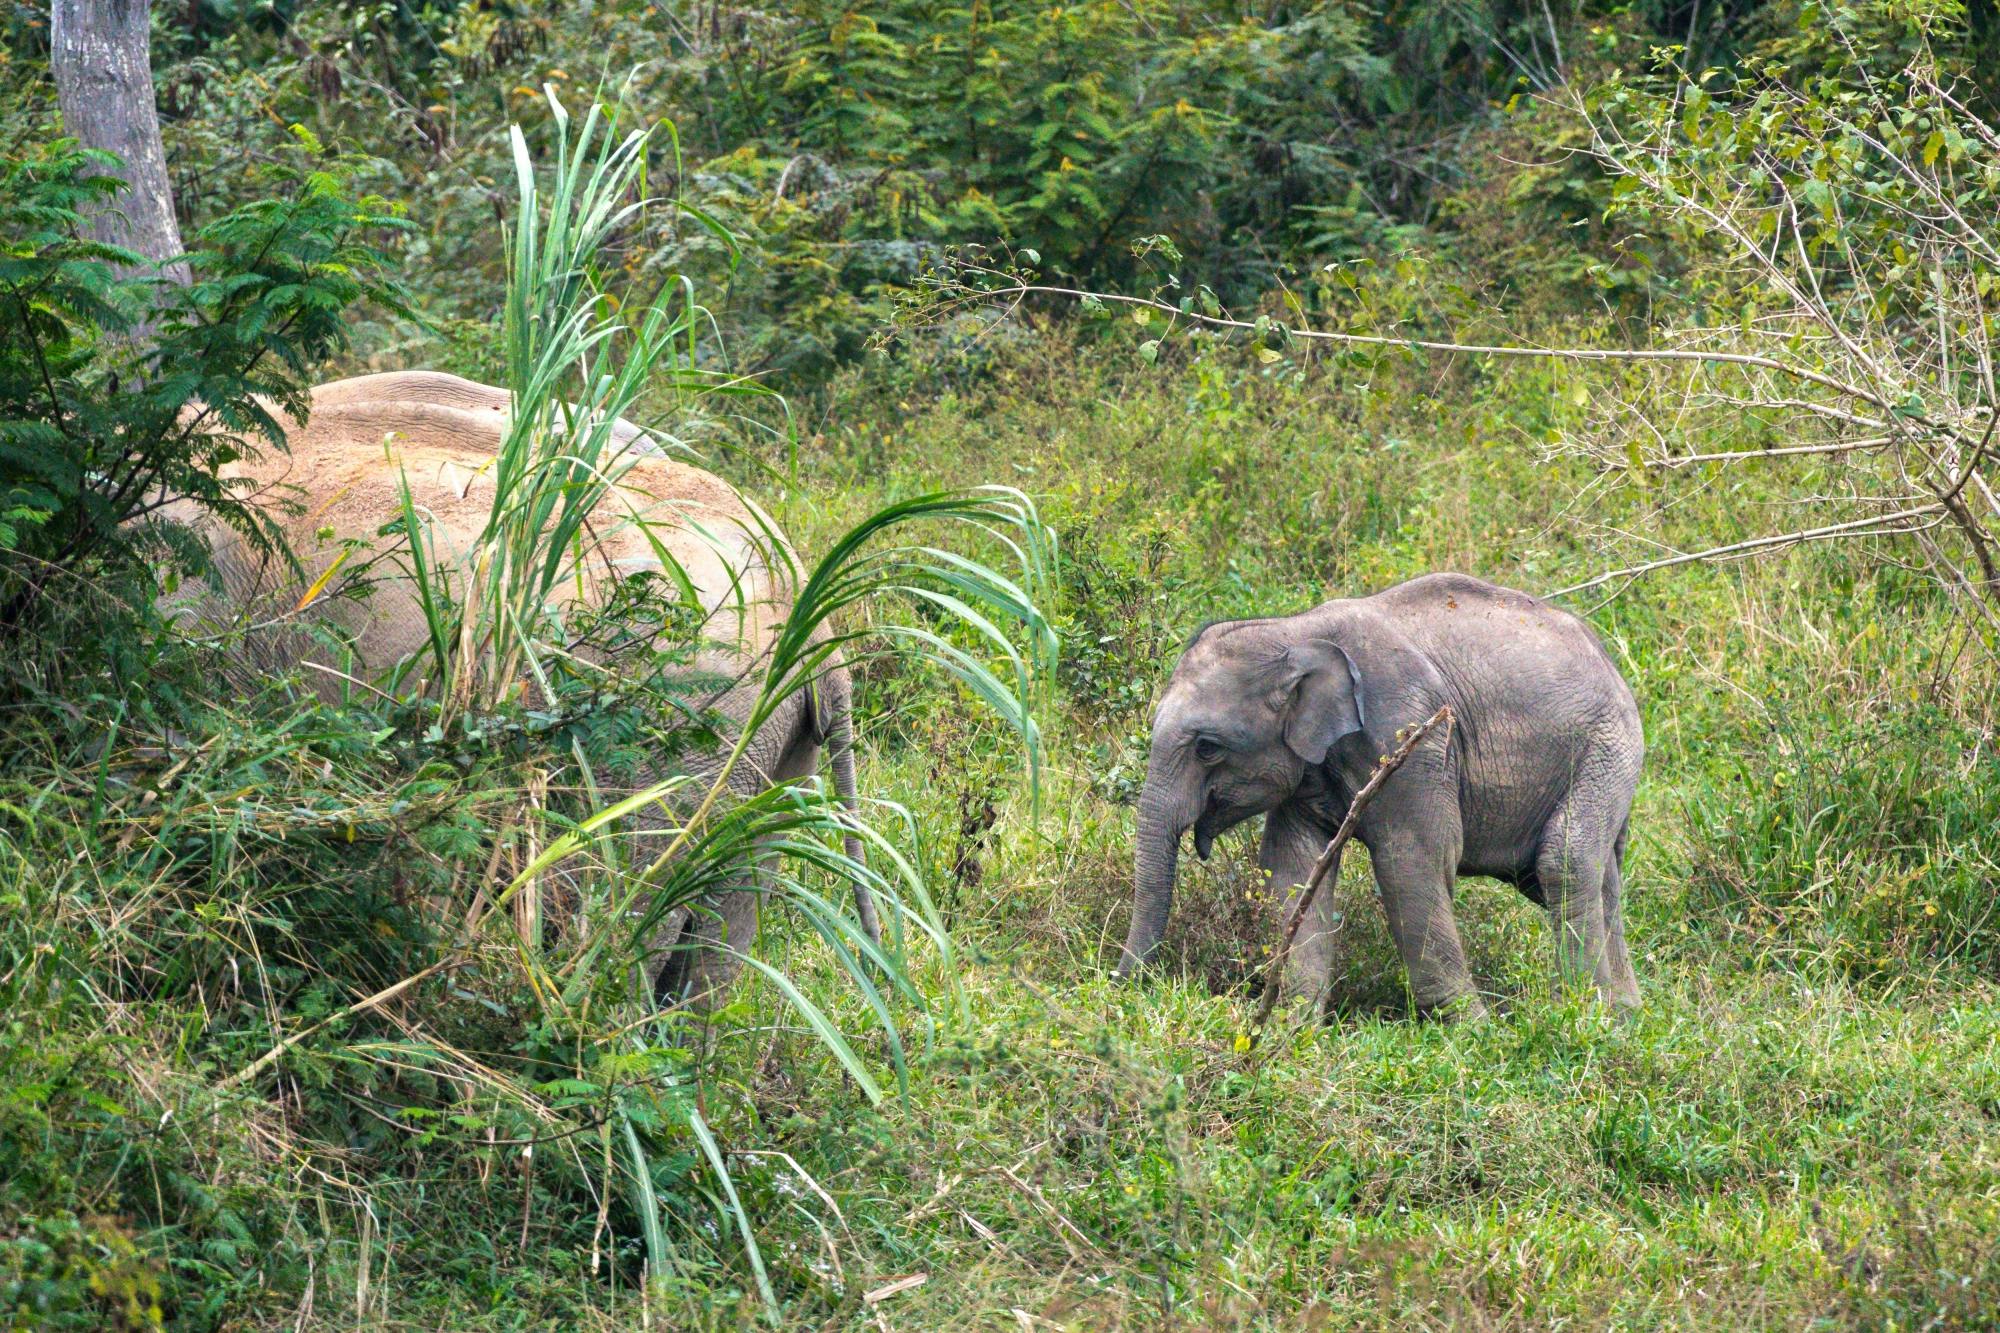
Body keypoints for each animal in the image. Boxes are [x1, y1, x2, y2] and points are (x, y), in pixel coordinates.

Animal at [1116, 572, 1643, 1019]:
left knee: (1564, 858)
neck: (1296, 631)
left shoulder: (1408, 734)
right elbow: (1293, 868)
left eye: (1207, 748)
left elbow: (1411, 860)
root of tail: (1612, 665)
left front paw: (1473, 1029)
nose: (1120, 987)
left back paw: (1586, 1015)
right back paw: (1625, 1017)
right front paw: (1294, 1027)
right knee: (1595, 877)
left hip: (1608, 748)